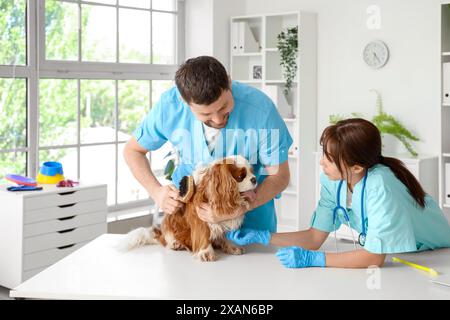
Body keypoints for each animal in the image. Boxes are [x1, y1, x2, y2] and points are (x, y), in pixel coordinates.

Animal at [119, 156, 256, 262]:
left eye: (251, 171)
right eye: (241, 176)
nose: (254, 179)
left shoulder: (219, 221)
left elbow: (224, 236)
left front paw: (232, 246)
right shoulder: (200, 219)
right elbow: (203, 235)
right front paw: (206, 253)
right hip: (169, 226)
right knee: (168, 241)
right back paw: (177, 244)